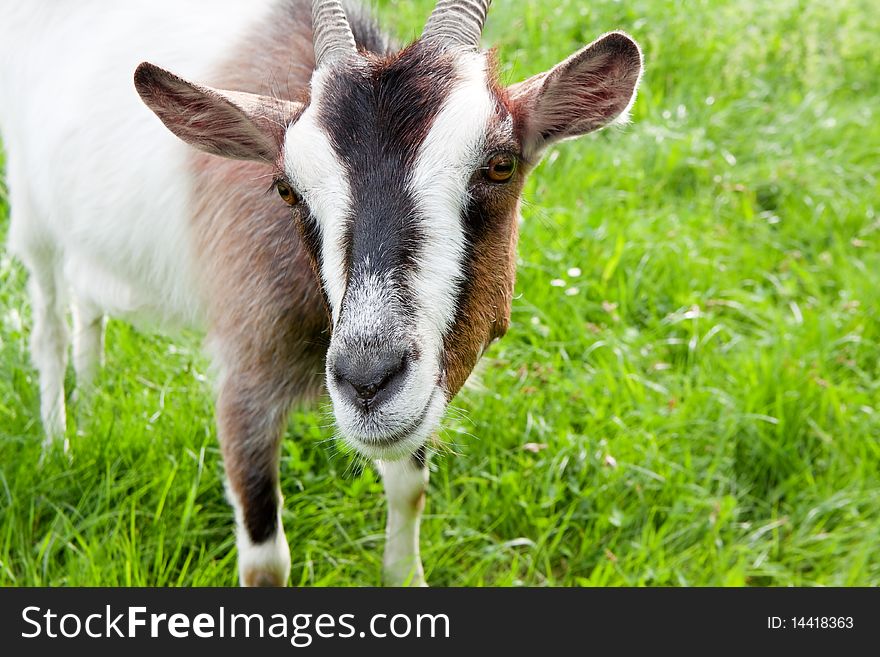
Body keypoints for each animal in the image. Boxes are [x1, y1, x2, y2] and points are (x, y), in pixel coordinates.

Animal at [0, 0, 648, 584]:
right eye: (286, 189)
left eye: (500, 165)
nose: (367, 382)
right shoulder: (245, 381)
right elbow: (266, 561)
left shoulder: (421, 400)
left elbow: (409, 489)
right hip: (33, 218)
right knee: (50, 328)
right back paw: (60, 442)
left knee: (88, 305)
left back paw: (92, 403)